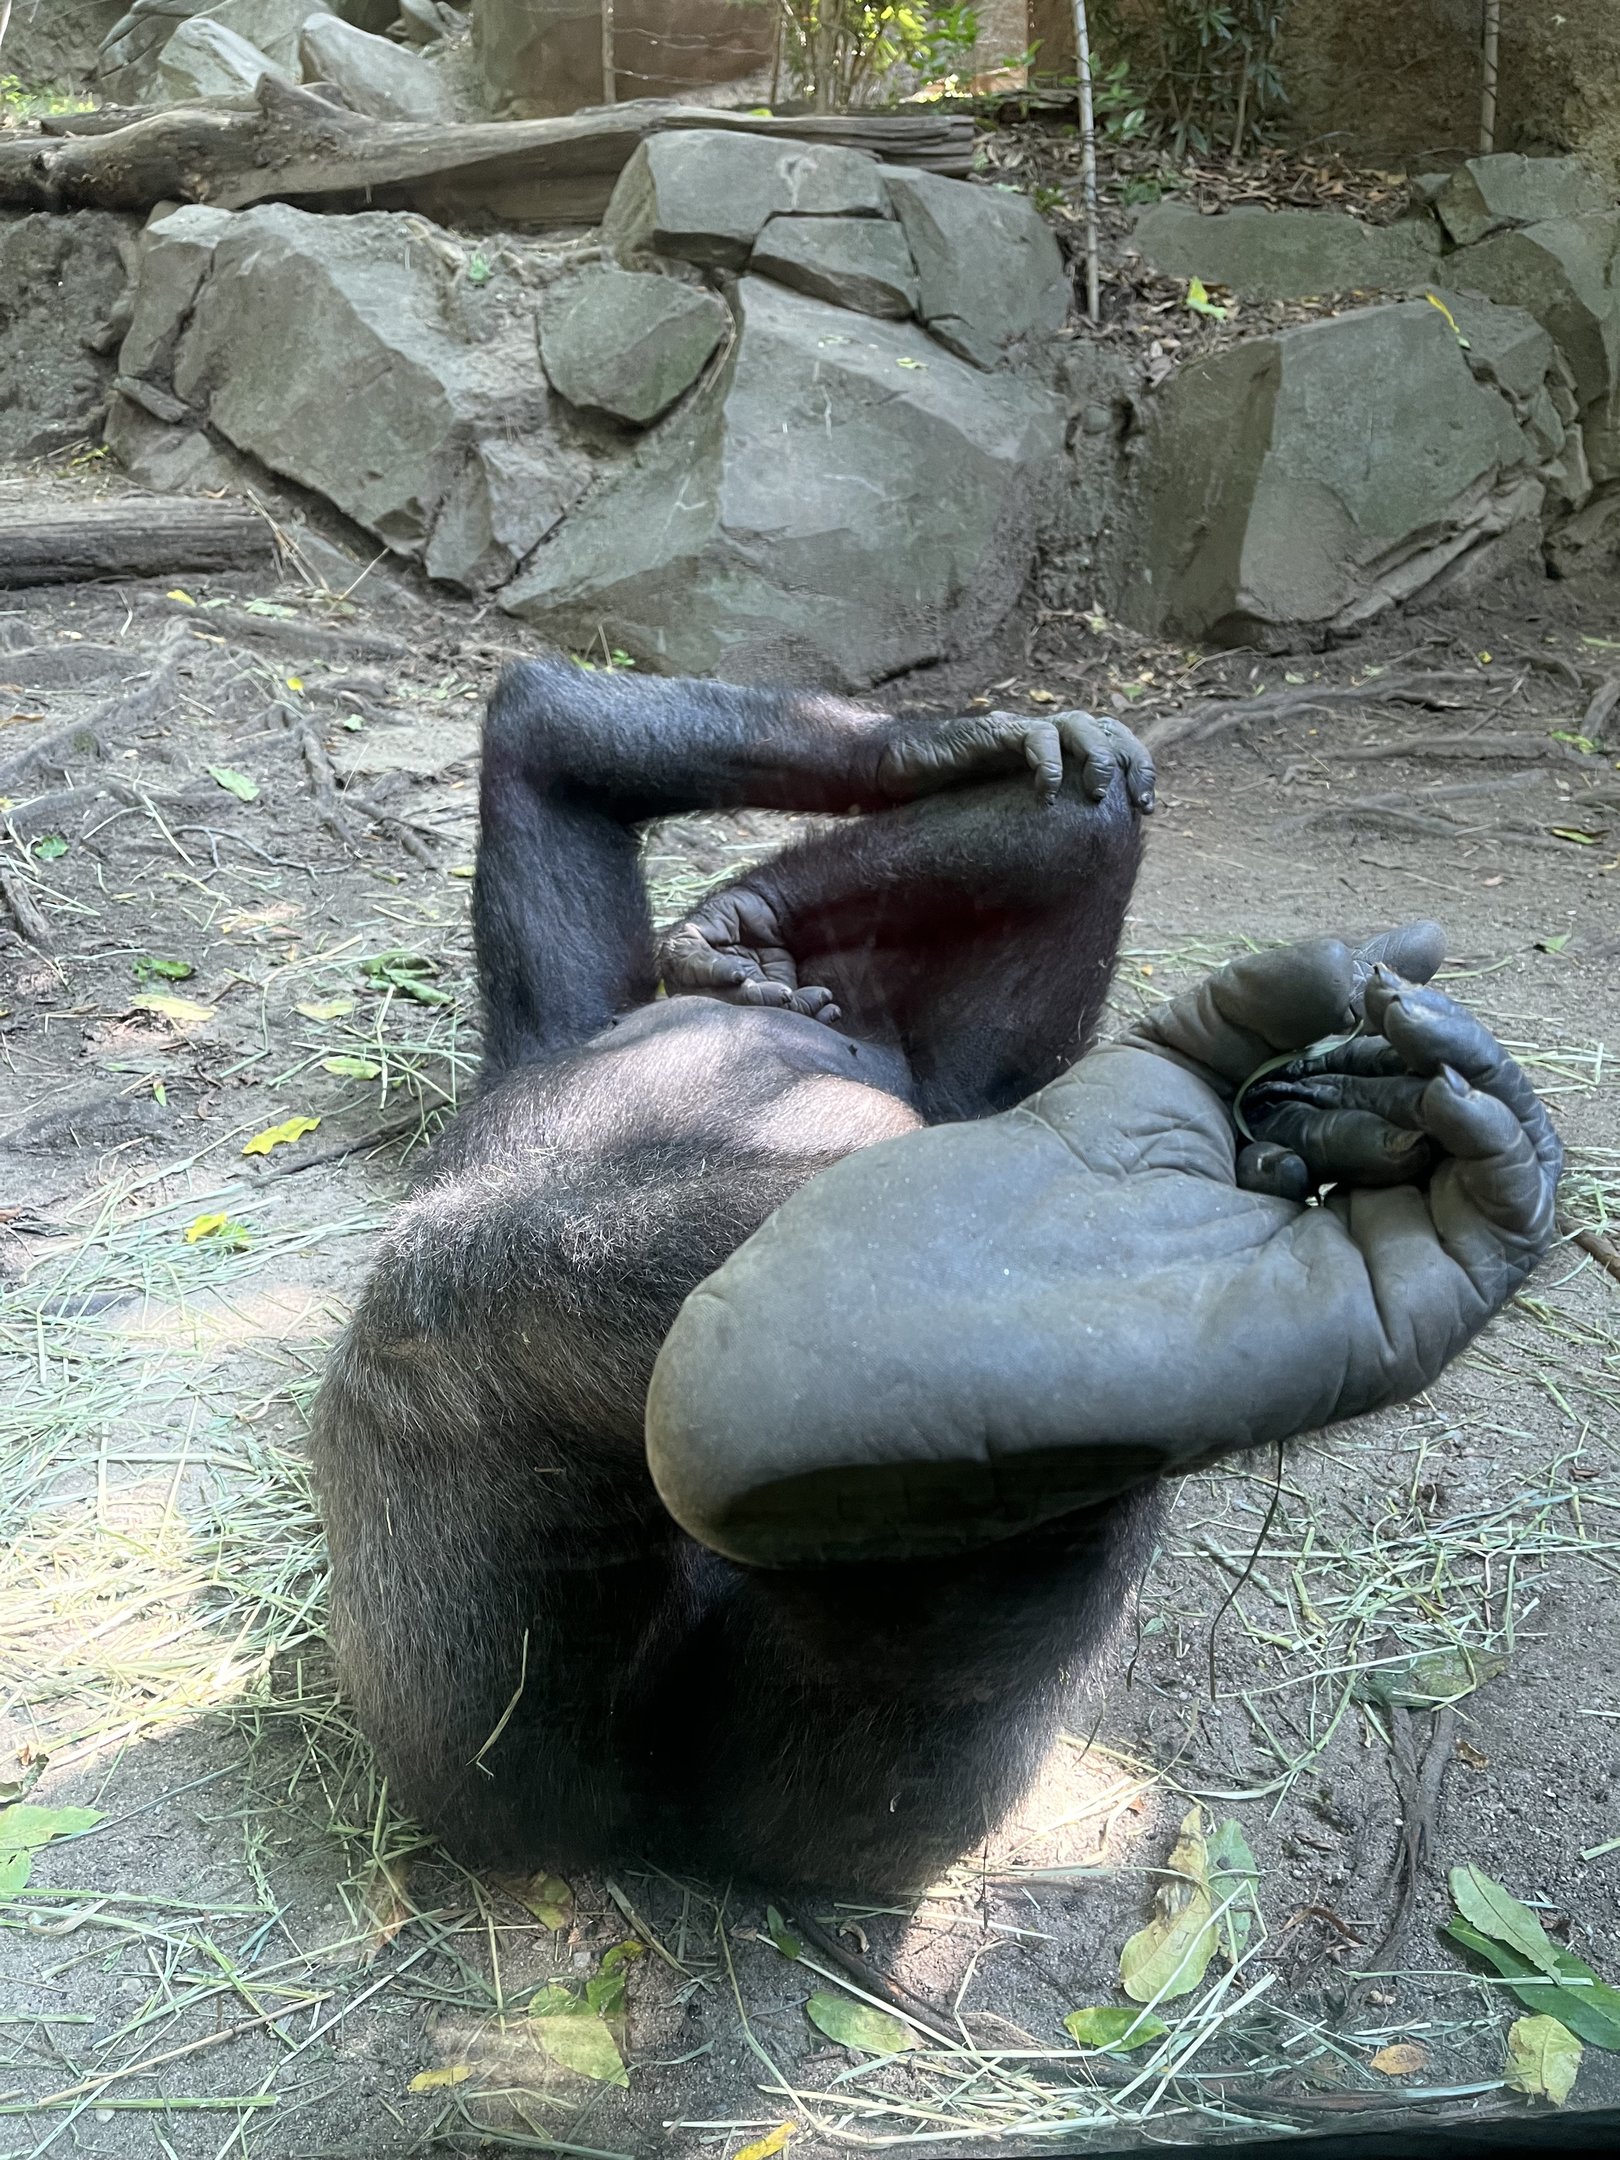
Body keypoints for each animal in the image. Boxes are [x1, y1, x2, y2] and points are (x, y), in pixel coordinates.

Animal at [310, 656, 1561, 1895]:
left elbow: (553, 742)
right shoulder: (573, 1016)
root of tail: (677, 1837)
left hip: (850, 1774)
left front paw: (956, 749)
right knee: (452, 1320)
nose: (787, 979)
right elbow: (550, 737)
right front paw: (949, 747)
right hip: (501, 1766)